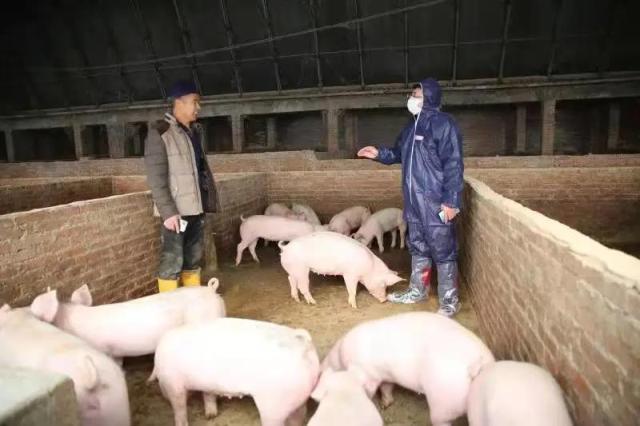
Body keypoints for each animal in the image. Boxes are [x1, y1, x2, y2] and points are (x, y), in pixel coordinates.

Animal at [148, 317, 320, 426]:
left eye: (160, 382)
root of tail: (303, 344)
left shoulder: (173, 384)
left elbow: (179, 407)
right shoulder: (208, 383)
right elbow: (208, 395)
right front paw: (211, 416)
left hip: (273, 403)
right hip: (298, 398)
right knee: (299, 416)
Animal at [322, 312, 495, 426]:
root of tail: (477, 363)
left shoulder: (367, 373)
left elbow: (371, 389)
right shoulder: (387, 375)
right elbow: (387, 387)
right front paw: (385, 404)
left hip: (444, 401)